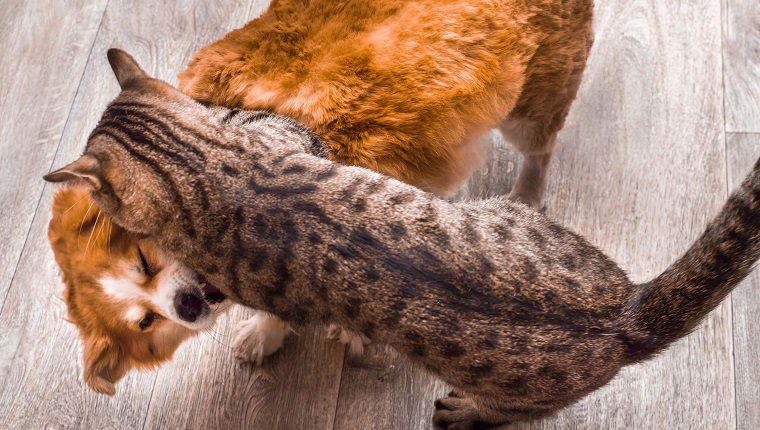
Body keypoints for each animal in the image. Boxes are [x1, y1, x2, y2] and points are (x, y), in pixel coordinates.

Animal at [43, 48, 760, 428]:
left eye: (141, 256)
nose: (190, 303)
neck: (208, 166)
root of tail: (624, 312)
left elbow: (277, 310)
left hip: (512, 391)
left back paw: (467, 412)